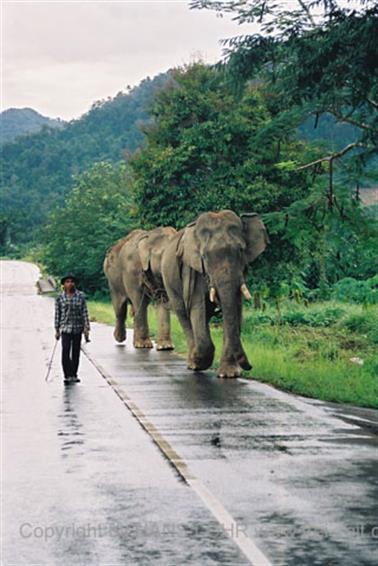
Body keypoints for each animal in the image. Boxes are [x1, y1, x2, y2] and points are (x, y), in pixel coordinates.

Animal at [160, 211, 268, 380]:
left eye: (240, 251)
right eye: (204, 256)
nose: (250, 366)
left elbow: (235, 308)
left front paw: (229, 374)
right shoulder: (193, 271)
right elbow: (197, 309)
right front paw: (201, 363)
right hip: (169, 283)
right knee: (183, 314)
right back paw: (193, 362)